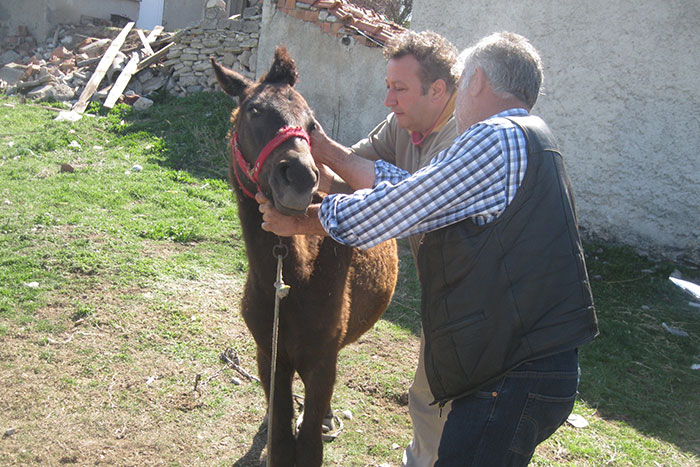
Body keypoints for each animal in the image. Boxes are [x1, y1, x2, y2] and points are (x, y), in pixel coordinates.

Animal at [211, 48, 400, 467]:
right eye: (254, 110)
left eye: (311, 125)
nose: (299, 177)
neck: (295, 285)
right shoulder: (271, 355)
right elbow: (282, 439)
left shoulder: (321, 359)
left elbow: (309, 443)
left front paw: (319, 422)